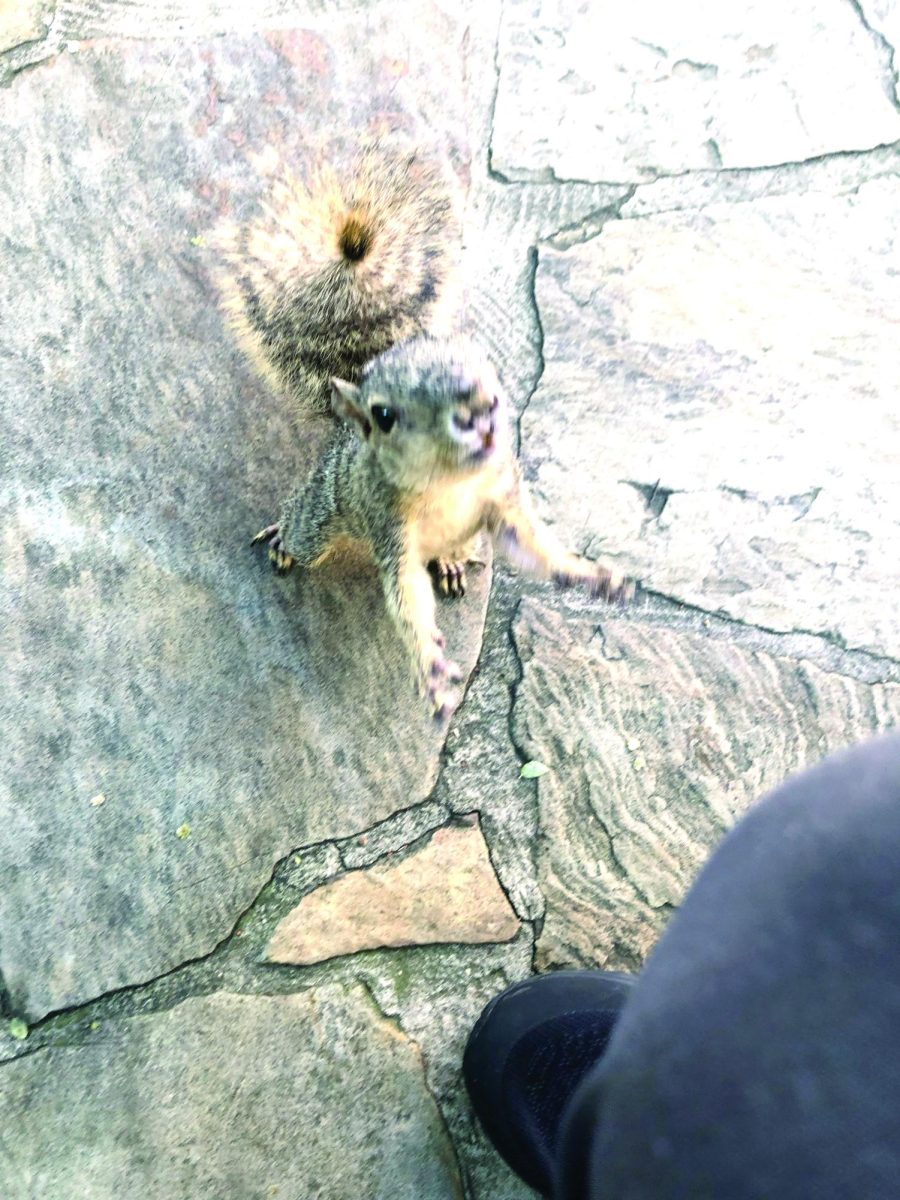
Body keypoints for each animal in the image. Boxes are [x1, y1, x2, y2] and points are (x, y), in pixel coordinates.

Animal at [217, 140, 633, 720]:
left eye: (485, 365)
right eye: (385, 415)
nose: (479, 408)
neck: (450, 484)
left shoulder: (502, 498)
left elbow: (532, 547)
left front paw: (588, 574)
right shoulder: (391, 528)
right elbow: (408, 600)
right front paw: (432, 670)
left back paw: (455, 562)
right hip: (324, 512)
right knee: (304, 524)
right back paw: (282, 538)